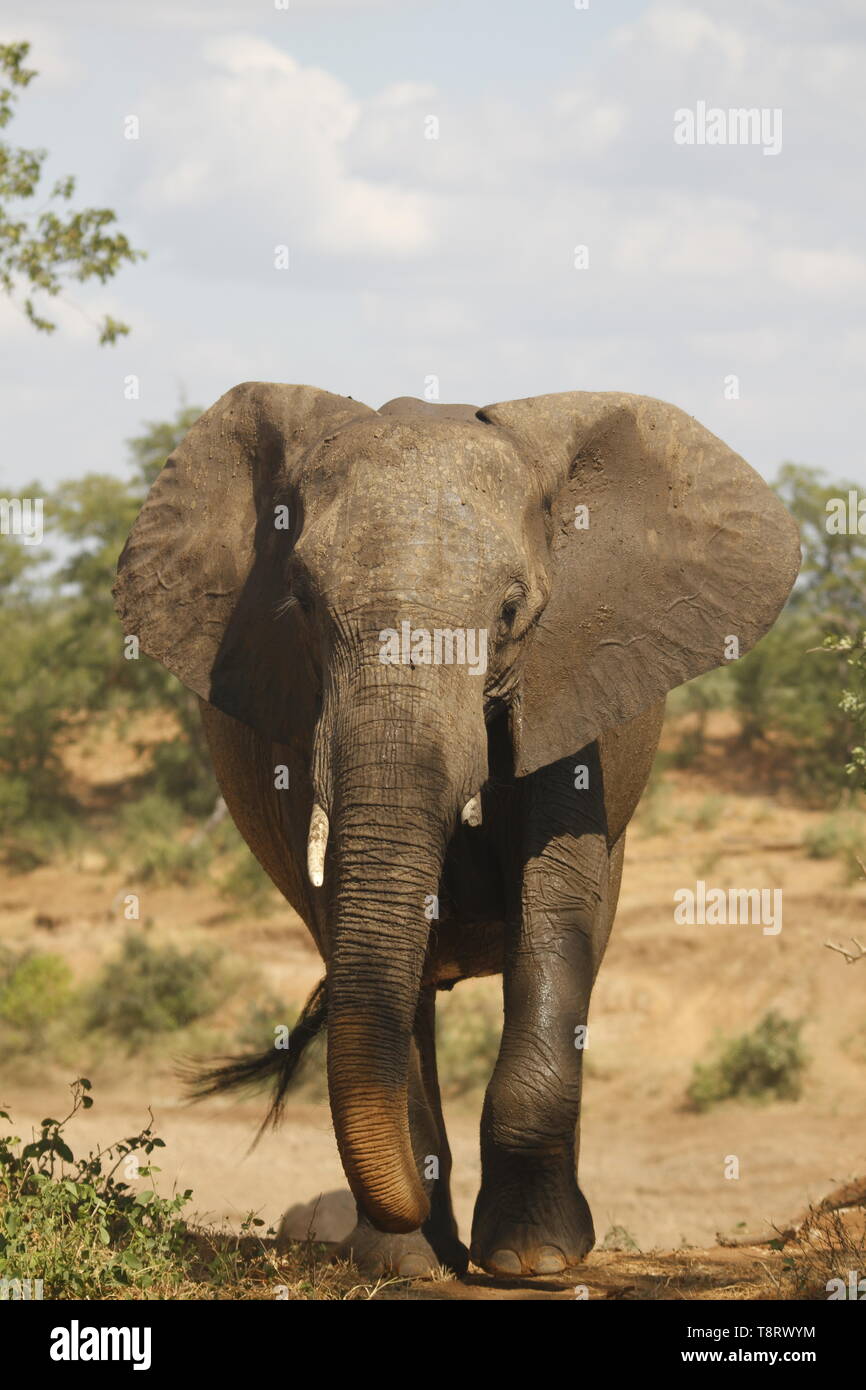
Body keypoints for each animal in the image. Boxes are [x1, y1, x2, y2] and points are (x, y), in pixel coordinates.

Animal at [114, 384, 800, 1279]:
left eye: (510, 613)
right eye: (302, 605)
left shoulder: (568, 685)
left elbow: (555, 909)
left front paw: (534, 1261)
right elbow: (357, 929)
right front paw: (407, 1262)